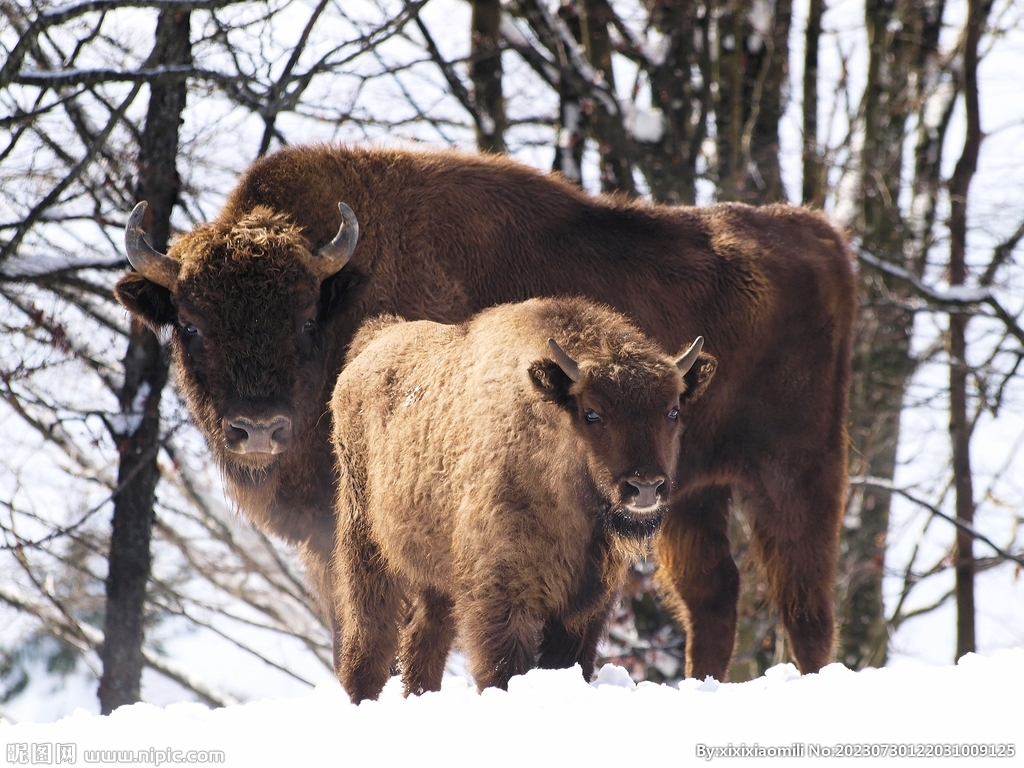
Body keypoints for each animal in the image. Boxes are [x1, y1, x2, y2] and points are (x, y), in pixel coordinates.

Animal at [116, 143, 856, 679]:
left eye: (303, 318)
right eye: (190, 324)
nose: (259, 429)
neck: (348, 290)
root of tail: (821, 236)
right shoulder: (337, 542)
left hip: (796, 478)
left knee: (805, 603)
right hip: (685, 496)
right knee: (713, 594)